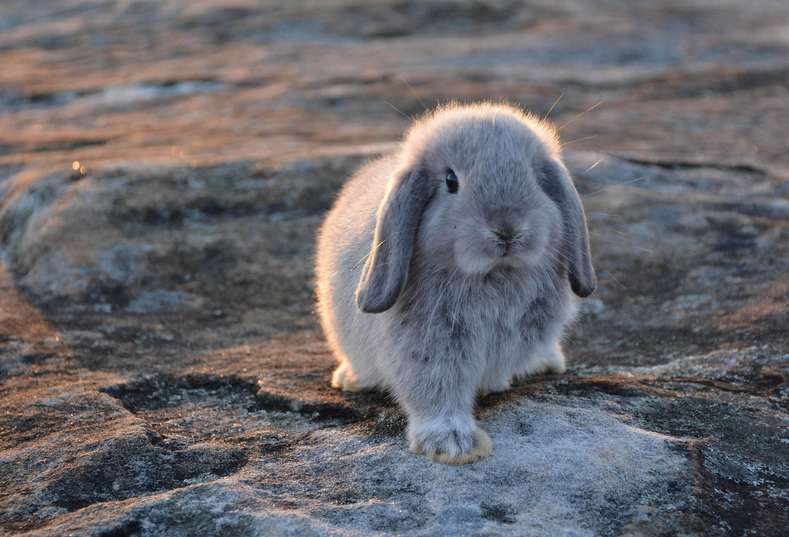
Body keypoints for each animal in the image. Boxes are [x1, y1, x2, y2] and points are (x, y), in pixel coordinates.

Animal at [314, 102, 592, 462]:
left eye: (534, 175)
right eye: (451, 180)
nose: (507, 229)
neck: (493, 275)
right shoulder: (426, 350)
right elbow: (436, 394)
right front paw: (453, 446)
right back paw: (350, 379)